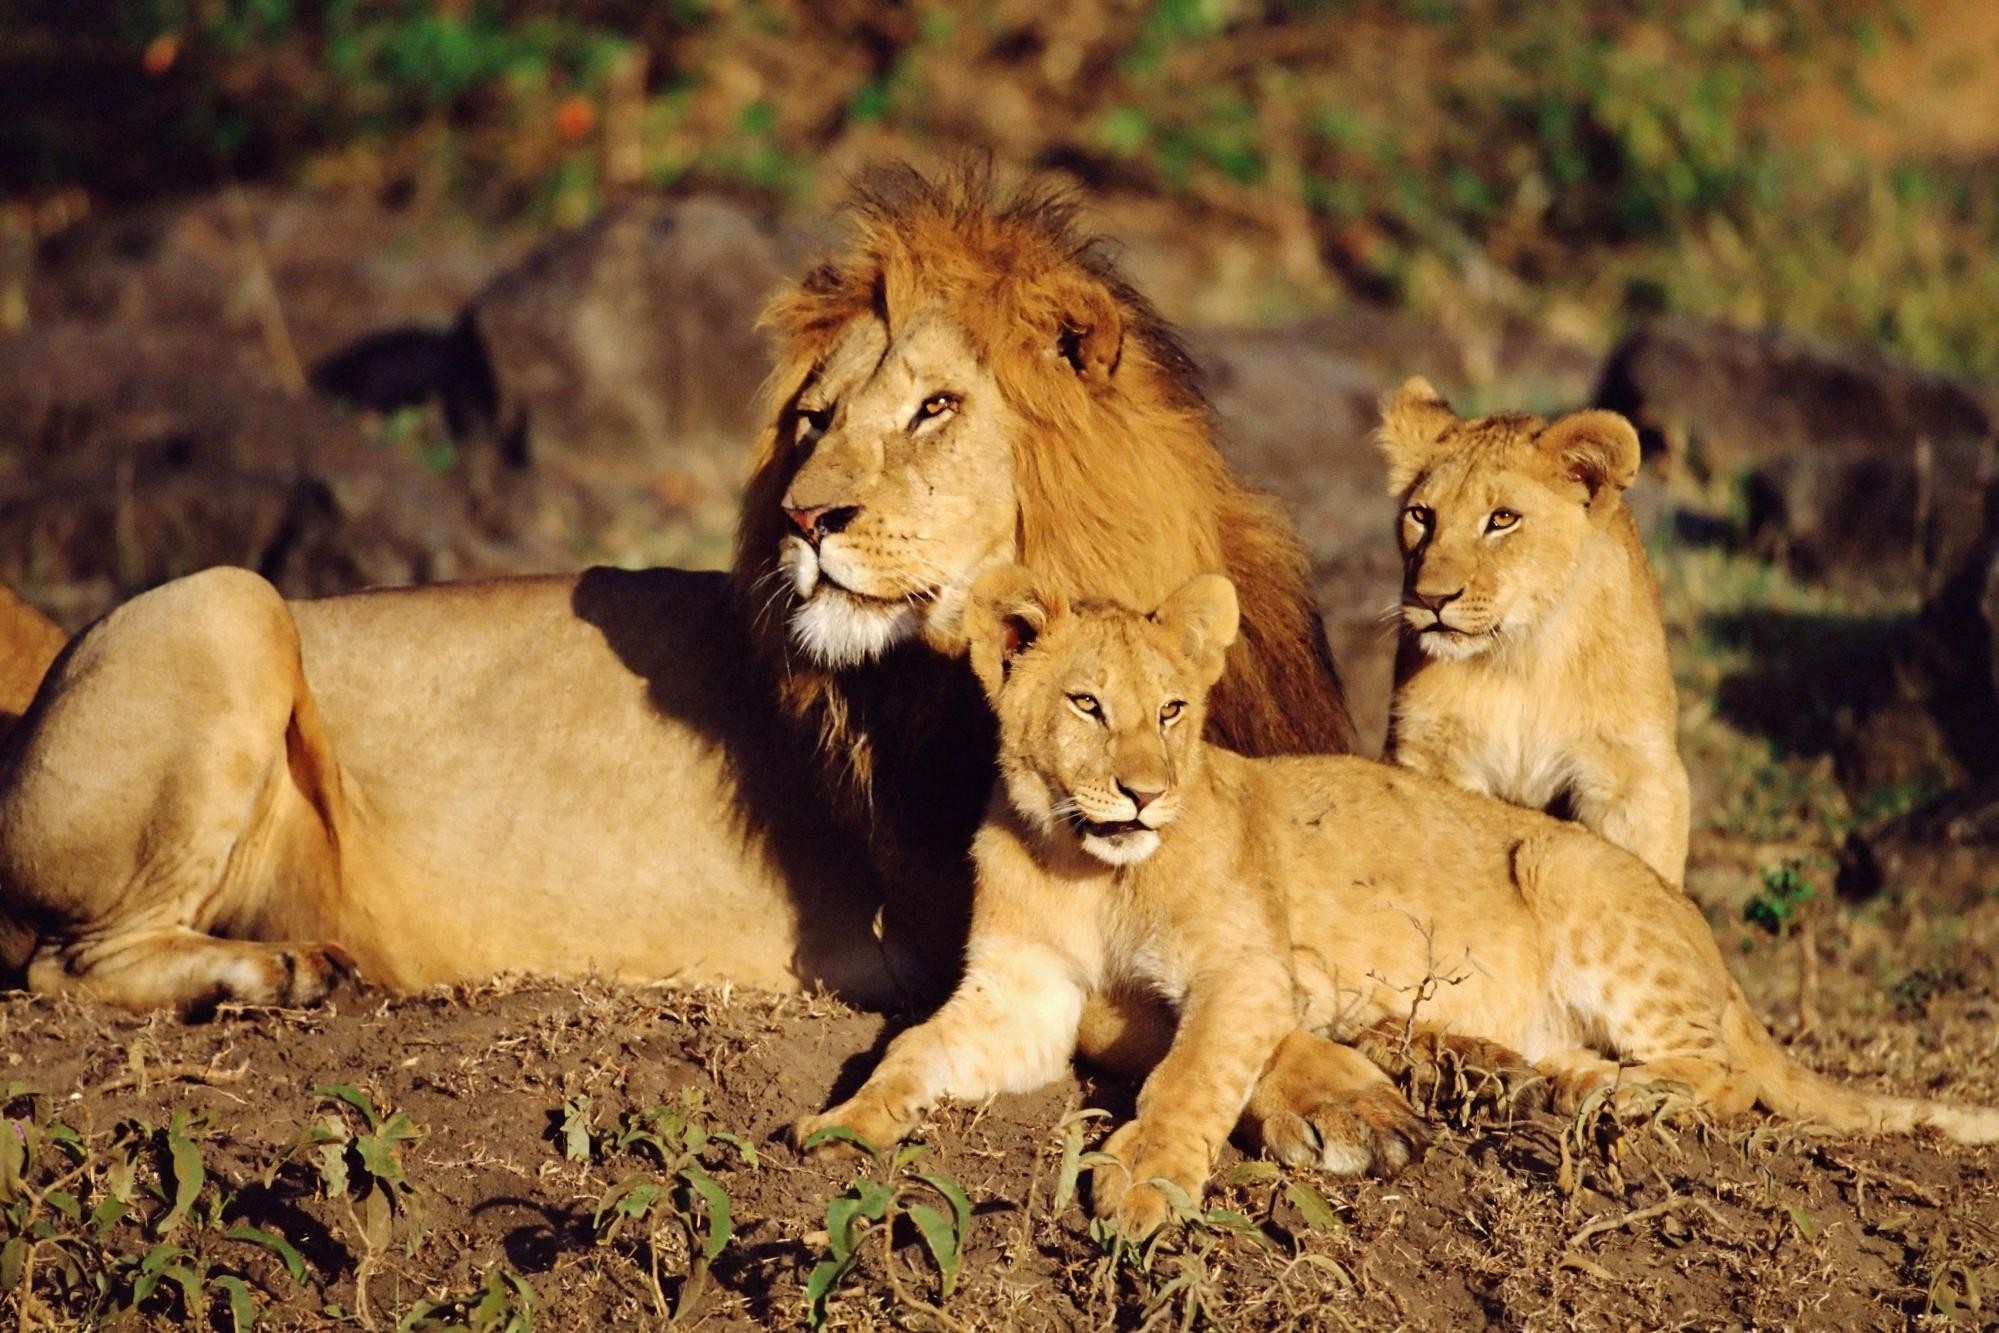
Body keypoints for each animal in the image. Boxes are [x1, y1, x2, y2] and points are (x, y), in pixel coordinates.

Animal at [0, 167, 1356, 1042]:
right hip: (224, 600)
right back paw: (272, 973)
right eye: (813, 420)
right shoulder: (970, 923)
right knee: (65, 965)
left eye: (934, 409)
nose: (806, 519)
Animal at [799, 566, 1995, 1236]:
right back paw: (1532, 1079)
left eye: (1175, 710)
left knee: (1723, 1076)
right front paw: (845, 1124)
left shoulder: (1248, 969)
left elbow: (1193, 1072)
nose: (1143, 790)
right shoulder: (1023, 994)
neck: (1088, 865)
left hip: (1569, 871)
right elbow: (914, 1048)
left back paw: (1613, 1095)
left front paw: (1145, 1181)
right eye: (1088, 705)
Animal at [1377, 377, 1691, 885]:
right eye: (1421, 515)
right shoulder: (1428, 750)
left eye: (1503, 519)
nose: (1431, 599)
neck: (1521, 657)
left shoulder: (1636, 773)